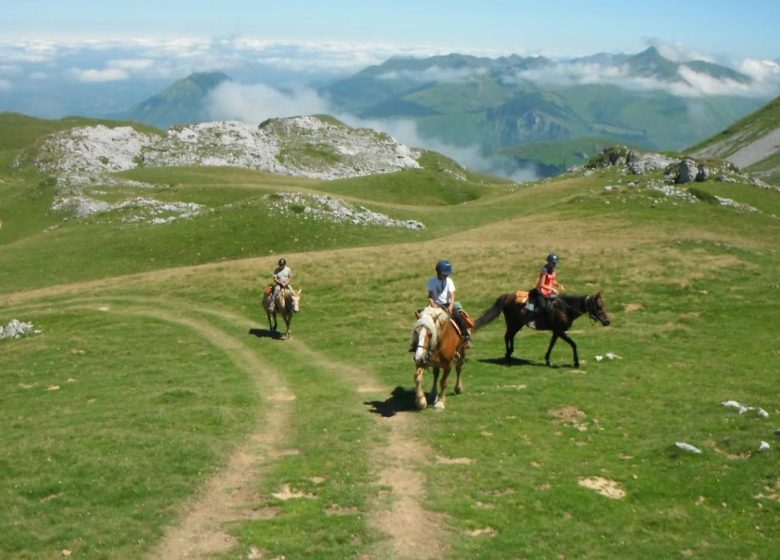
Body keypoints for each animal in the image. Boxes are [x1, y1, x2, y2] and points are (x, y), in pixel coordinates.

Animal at [472, 294, 612, 368]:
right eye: (598, 306)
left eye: (603, 305)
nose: (607, 321)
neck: (565, 309)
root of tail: (507, 296)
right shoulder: (560, 331)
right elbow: (573, 344)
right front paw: (576, 362)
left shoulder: (556, 332)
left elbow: (551, 345)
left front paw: (547, 360)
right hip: (514, 324)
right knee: (507, 337)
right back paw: (508, 355)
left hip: (517, 325)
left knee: (510, 337)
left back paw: (510, 353)